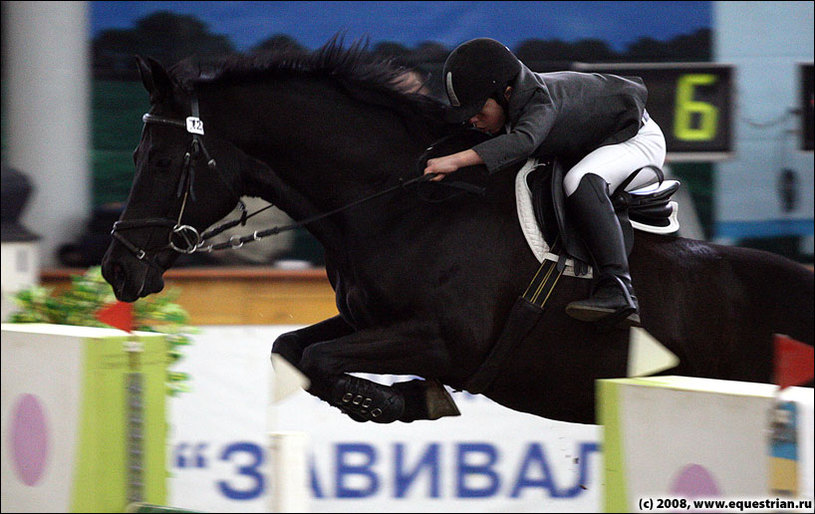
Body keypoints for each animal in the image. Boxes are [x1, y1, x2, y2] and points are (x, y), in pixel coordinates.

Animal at [99, 40, 812, 422]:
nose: (117, 269)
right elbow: (291, 349)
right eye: (135, 155)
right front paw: (398, 401)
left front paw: (401, 402)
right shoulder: (368, 319)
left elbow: (324, 361)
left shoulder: (444, 339)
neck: (401, 205)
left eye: (160, 161)